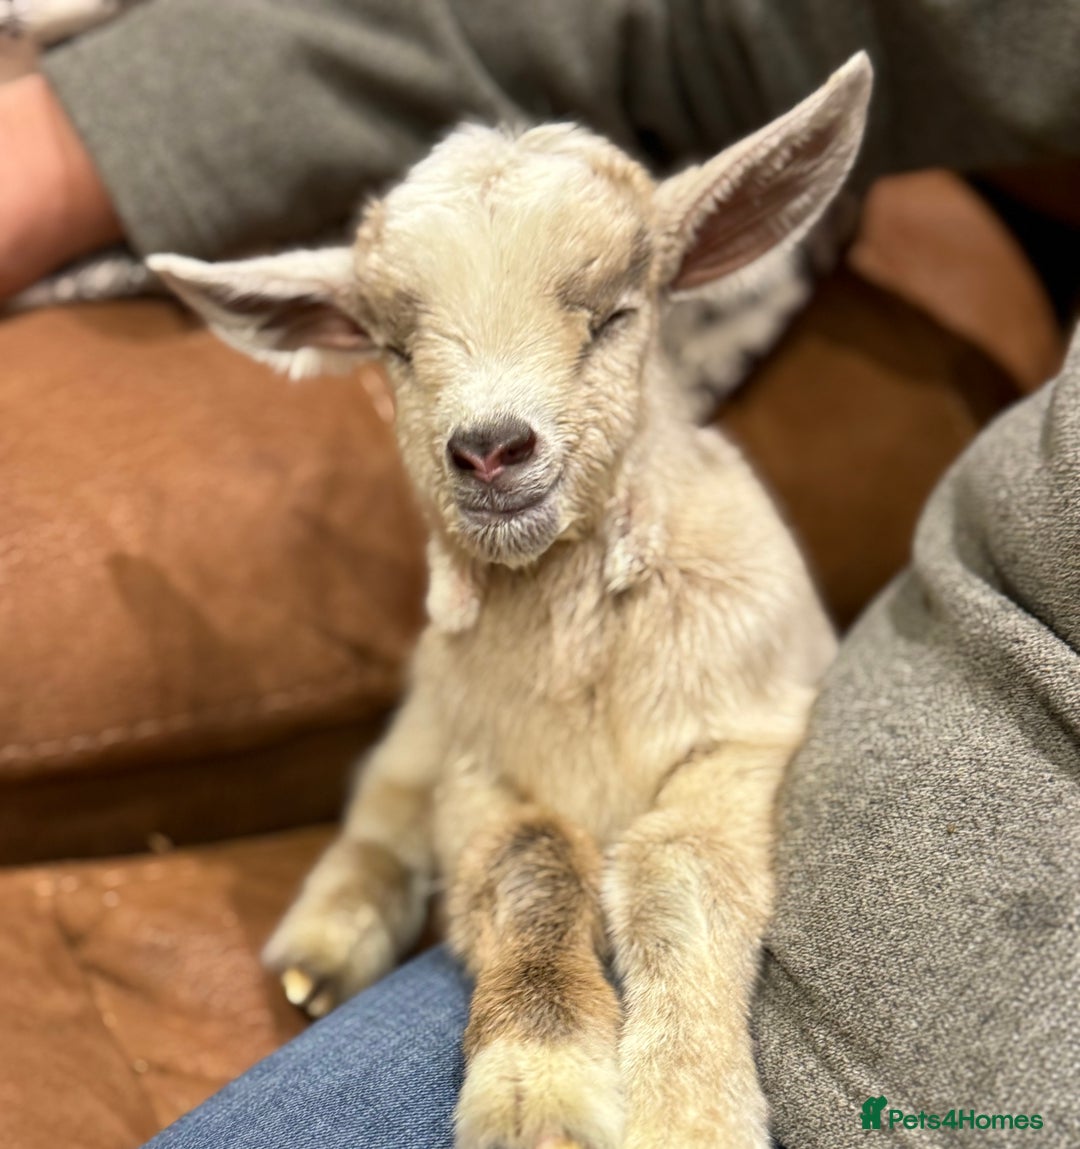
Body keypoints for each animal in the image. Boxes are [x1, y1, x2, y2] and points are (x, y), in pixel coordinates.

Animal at [149, 52, 870, 1149]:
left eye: (616, 315)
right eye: (396, 349)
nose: (490, 446)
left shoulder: (746, 737)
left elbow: (679, 874)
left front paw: (687, 1110)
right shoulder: (478, 769)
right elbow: (529, 870)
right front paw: (539, 1094)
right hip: (422, 721)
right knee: (381, 810)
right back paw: (319, 956)